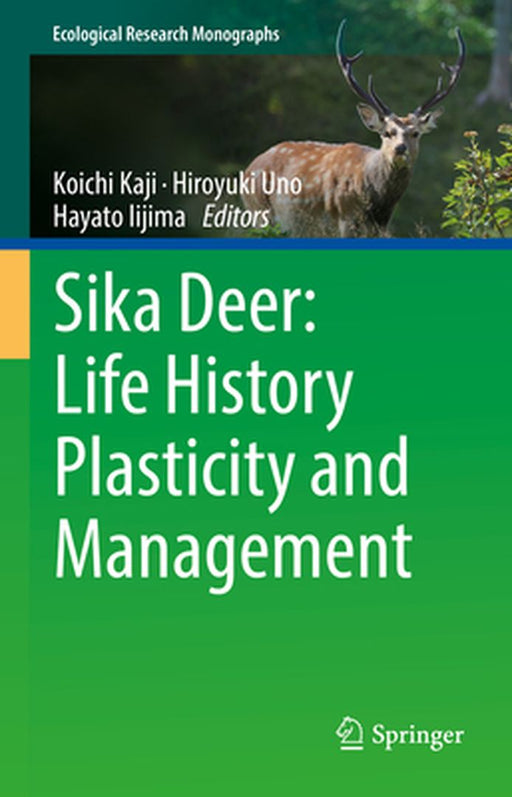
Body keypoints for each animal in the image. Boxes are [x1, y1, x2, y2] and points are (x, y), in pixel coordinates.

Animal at [243, 21, 465, 237]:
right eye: (386, 133)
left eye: (415, 133)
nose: (400, 148)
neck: (378, 206)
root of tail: (248, 169)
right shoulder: (345, 217)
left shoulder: (380, 227)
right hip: (260, 212)